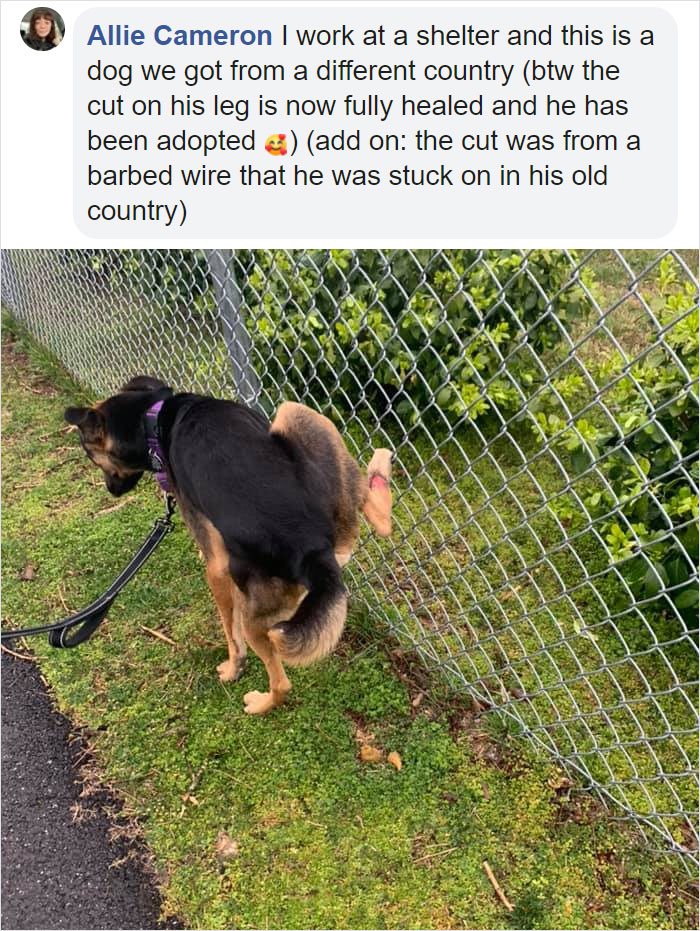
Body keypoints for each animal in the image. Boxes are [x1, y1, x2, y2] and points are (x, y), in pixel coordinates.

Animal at [64, 374, 394, 716]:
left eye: (91, 456)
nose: (112, 492)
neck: (154, 417)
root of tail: (313, 551)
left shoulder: (216, 564)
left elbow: (230, 634)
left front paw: (233, 668)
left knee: (280, 682)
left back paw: (259, 704)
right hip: (321, 465)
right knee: (379, 515)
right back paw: (379, 466)